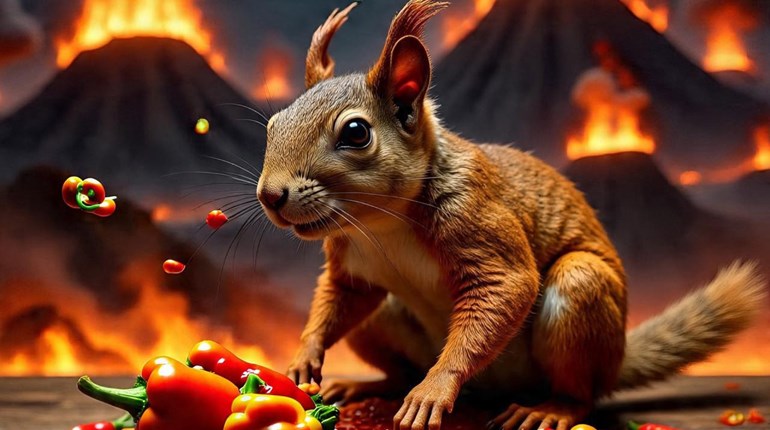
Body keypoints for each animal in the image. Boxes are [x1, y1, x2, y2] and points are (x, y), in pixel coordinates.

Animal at [255, 1, 768, 429]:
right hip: (384, 318)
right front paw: (304, 356)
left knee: (582, 392)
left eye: (357, 132)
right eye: (273, 124)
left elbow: (507, 287)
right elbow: (338, 298)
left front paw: (434, 389)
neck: (385, 222)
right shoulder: (353, 265)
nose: (269, 196)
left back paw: (550, 409)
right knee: (396, 363)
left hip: (581, 295)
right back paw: (364, 385)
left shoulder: (476, 216)